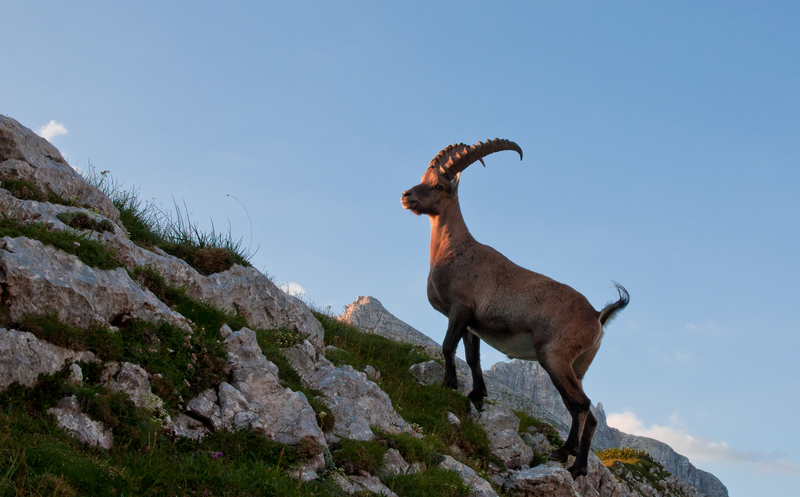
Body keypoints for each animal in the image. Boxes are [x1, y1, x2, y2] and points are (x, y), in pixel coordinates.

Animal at [404, 139, 628, 476]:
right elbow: (472, 357)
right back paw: (568, 457)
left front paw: (449, 384)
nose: (406, 196)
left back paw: (572, 461)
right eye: (424, 179)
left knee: (583, 406)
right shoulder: (472, 323)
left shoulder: (460, 309)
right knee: (584, 412)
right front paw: (476, 395)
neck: (453, 249)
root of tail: (598, 316)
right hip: (578, 366)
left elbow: (447, 347)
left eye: (439, 186)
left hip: (554, 357)